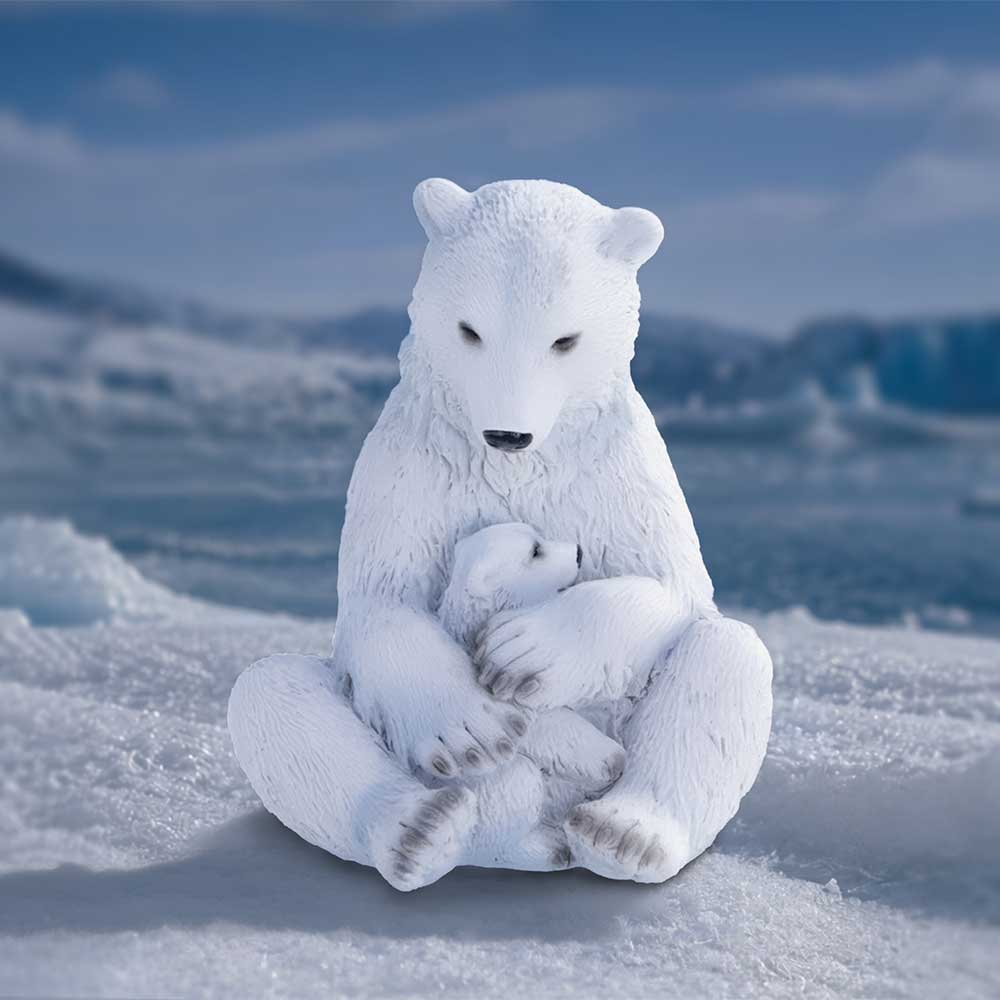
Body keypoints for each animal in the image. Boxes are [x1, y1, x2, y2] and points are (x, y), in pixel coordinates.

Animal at [228, 177, 774, 892]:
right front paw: (473, 733)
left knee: (727, 656)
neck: (518, 466)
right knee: (269, 694)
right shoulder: (410, 466)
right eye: (469, 330)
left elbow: (676, 582)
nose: (507, 435)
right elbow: (381, 598)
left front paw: (526, 653)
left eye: (565, 340)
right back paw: (423, 829)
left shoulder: (618, 468)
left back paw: (623, 834)